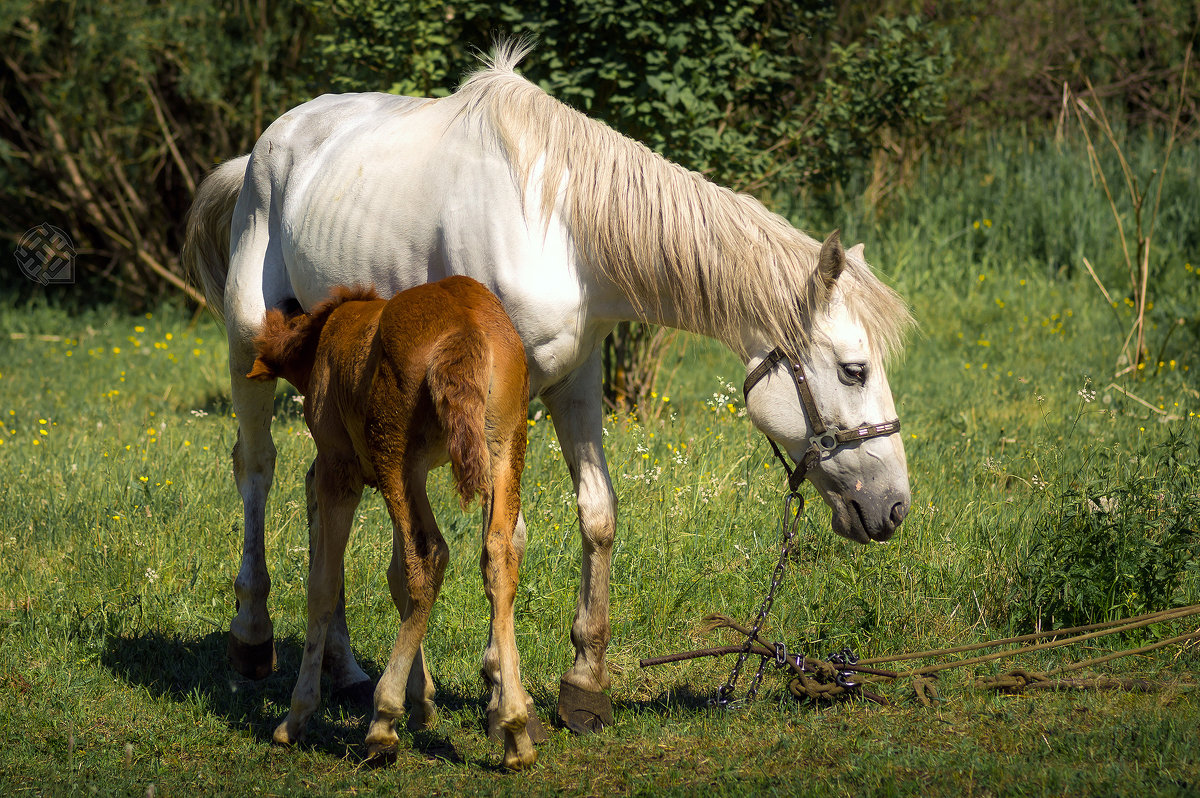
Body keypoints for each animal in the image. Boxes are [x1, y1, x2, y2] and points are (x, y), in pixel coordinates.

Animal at [184, 40, 907, 729]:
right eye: (854, 370)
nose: (894, 507)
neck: (561, 232)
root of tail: (264, 148)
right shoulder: (499, 406)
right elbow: (507, 539)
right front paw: (503, 690)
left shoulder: (576, 383)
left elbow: (598, 515)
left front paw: (584, 685)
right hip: (250, 346)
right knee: (257, 469)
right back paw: (253, 636)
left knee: (326, 489)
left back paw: (347, 669)